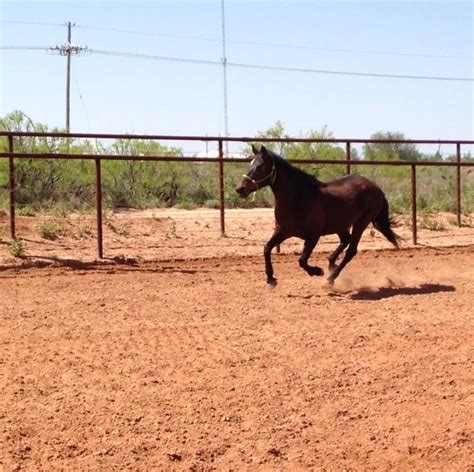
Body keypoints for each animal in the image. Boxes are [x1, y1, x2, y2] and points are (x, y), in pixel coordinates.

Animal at [234, 145, 400, 288]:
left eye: (259, 166)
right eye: (249, 164)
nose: (240, 189)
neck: (298, 198)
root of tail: (377, 188)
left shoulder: (313, 236)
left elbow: (301, 260)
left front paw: (317, 271)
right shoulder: (282, 231)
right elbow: (267, 248)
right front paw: (270, 279)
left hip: (361, 222)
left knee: (351, 250)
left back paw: (330, 279)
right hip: (340, 224)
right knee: (345, 240)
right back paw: (331, 264)